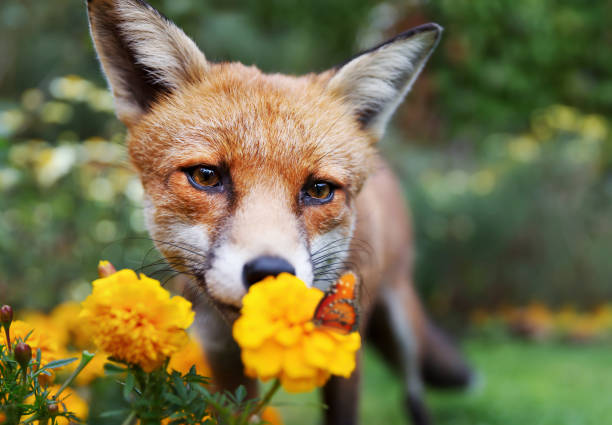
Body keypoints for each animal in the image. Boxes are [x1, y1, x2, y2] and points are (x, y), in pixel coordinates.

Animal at [86, 1, 470, 422]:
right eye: (205, 176)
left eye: (319, 190)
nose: (270, 273)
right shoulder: (221, 357)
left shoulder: (344, 349)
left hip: (400, 320)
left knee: (413, 389)